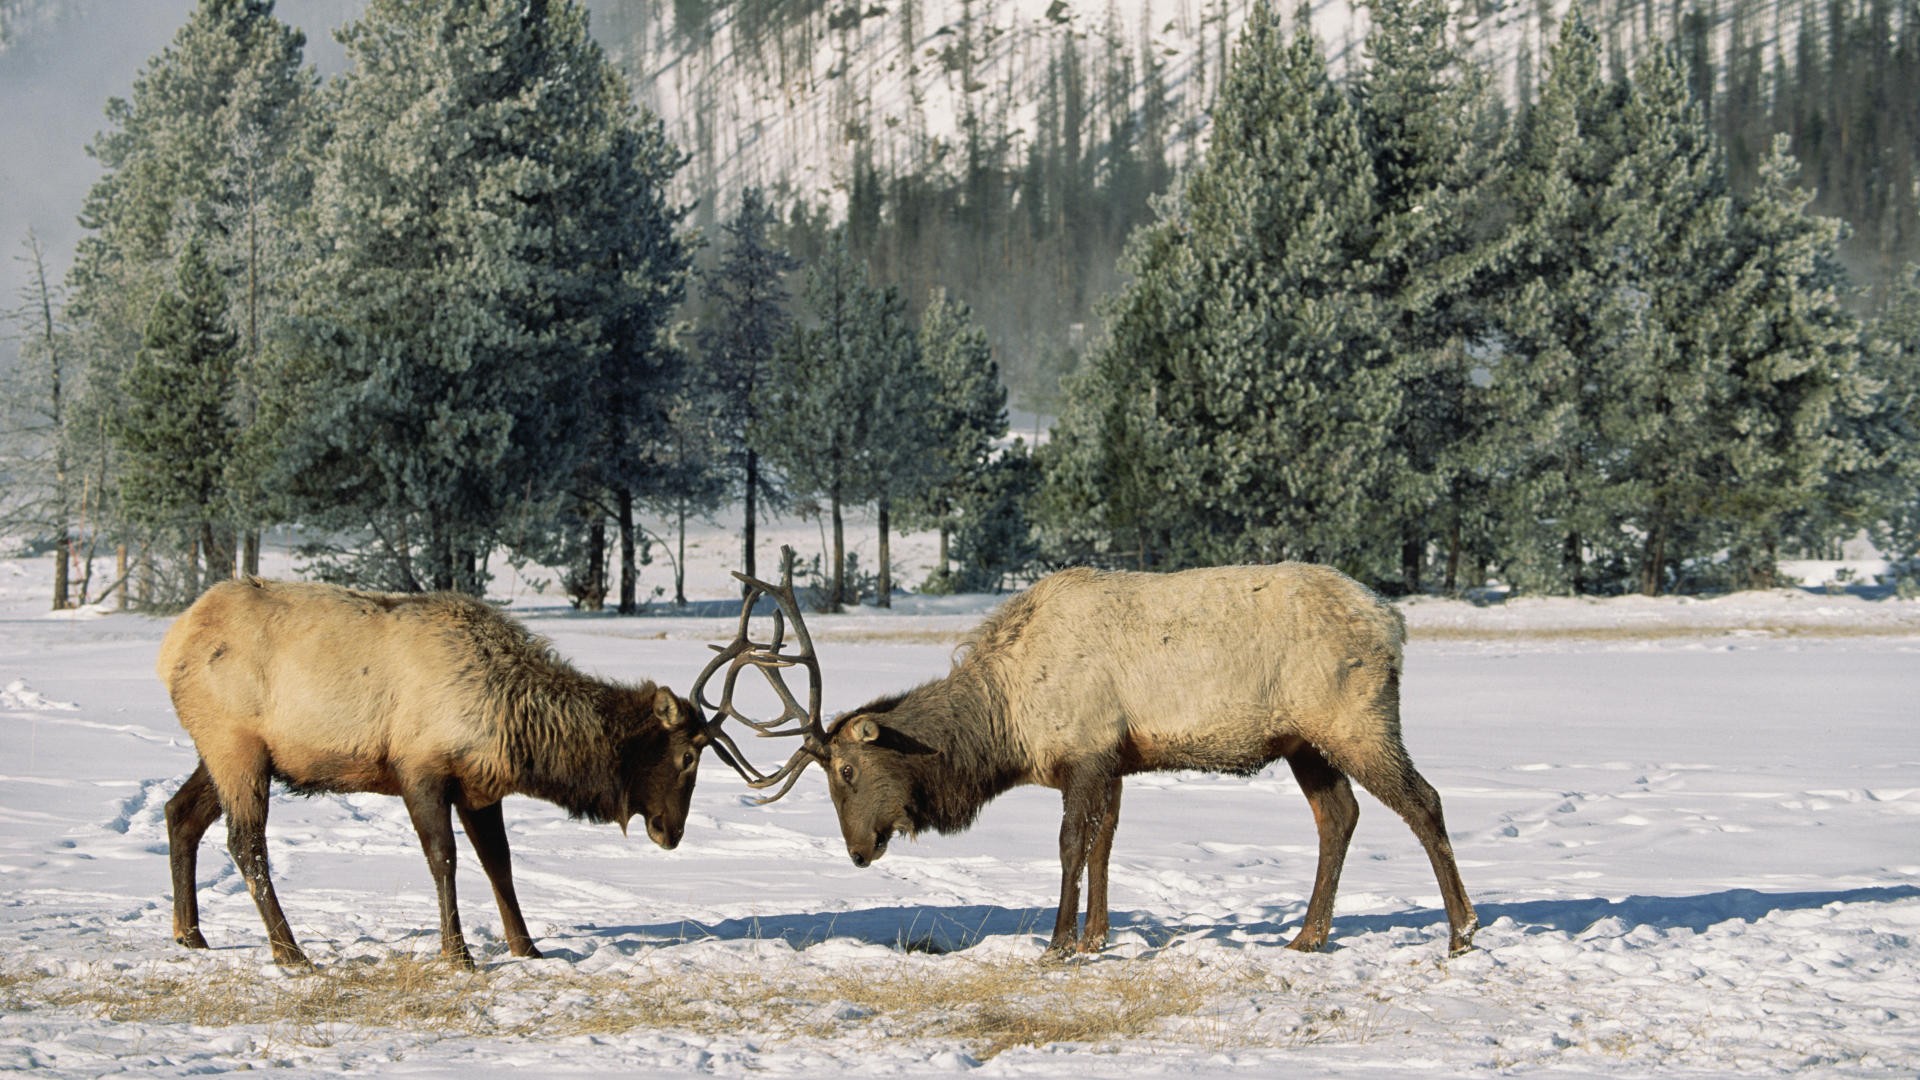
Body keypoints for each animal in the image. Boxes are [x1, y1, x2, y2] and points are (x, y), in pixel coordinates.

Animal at [157, 576, 763, 969]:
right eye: (688, 757)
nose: (671, 831)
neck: (513, 721)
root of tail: (170, 648)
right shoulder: (419, 768)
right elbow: (443, 859)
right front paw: (459, 953)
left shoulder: (479, 788)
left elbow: (500, 864)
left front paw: (527, 947)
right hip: (237, 745)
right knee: (246, 842)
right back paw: (290, 952)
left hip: (224, 751)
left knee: (179, 812)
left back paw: (190, 934)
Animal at [704, 548, 1478, 959]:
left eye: (846, 769)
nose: (859, 851)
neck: (1008, 724)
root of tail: (1395, 622)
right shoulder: (1114, 758)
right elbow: (1105, 842)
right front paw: (1097, 938)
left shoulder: (1085, 747)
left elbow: (1073, 844)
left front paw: (1057, 943)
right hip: (1303, 740)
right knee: (1338, 815)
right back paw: (1308, 935)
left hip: (1354, 716)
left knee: (1423, 802)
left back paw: (1461, 932)